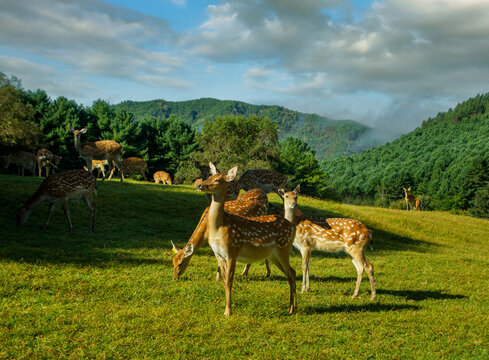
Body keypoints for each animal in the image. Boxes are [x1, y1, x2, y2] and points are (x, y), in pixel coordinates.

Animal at [196, 163, 296, 316]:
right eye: (209, 176)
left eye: (217, 179)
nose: (200, 185)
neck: (219, 228)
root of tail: (292, 226)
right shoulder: (219, 255)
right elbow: (224, 280)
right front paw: (226, 309)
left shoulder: (232, 251)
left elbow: (229, 280)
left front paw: (228, 311)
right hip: (274, 255)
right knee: (293, 272)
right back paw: (294, 307)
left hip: (284, 249)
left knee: (291, 274)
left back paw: (291, 308)